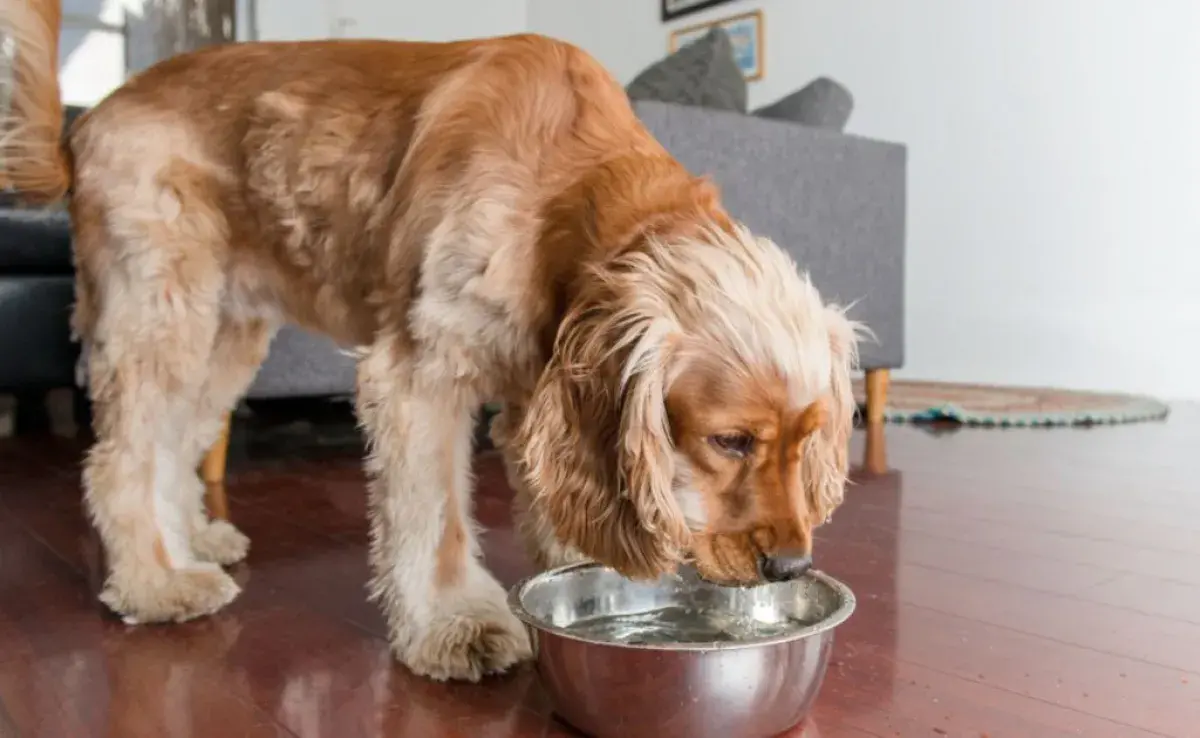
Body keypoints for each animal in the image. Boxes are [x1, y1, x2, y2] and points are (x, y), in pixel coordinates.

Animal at [0, 0, 864, 681]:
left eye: (813, 439)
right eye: (729, 441)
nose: (790, 566)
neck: (571, 189)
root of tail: (87, 122)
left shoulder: (536, 392)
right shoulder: (420, 375)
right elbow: (439, 519)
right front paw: (458, 623)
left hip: (226, 330)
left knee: (174, 443)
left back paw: (192, 543)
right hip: (162, 304)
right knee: (122, 458)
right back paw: (156, 582)